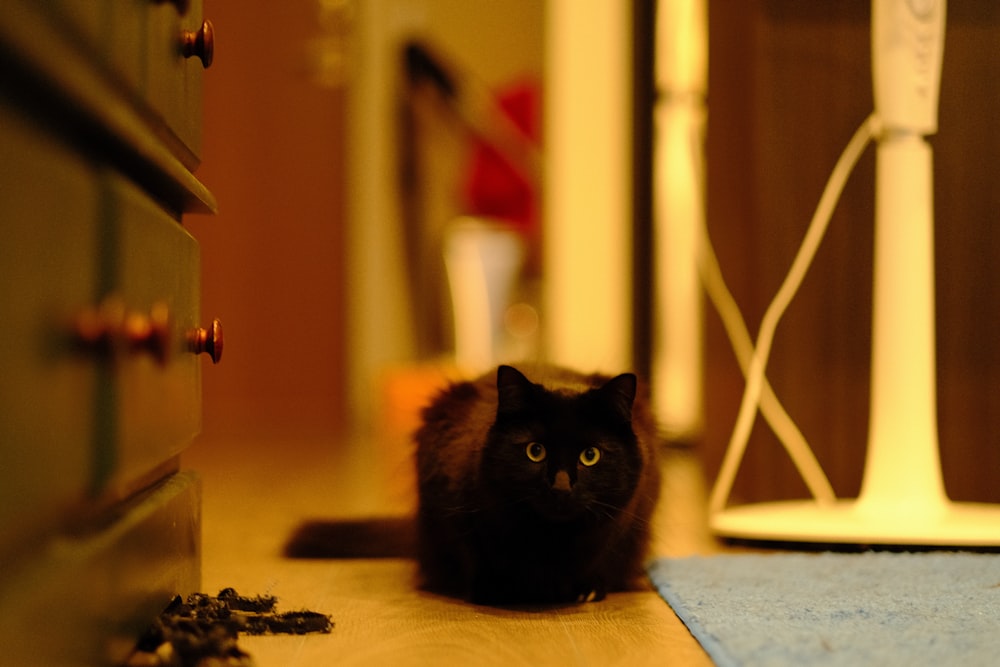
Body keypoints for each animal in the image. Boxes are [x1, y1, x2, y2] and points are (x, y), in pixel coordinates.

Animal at [416, 366, 664, 604]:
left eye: (590, 455)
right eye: (535, 451)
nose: (561, 487)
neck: (552, 539)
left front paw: (588, 588)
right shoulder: (453, 512)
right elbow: (475, 554)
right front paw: (494, 589)